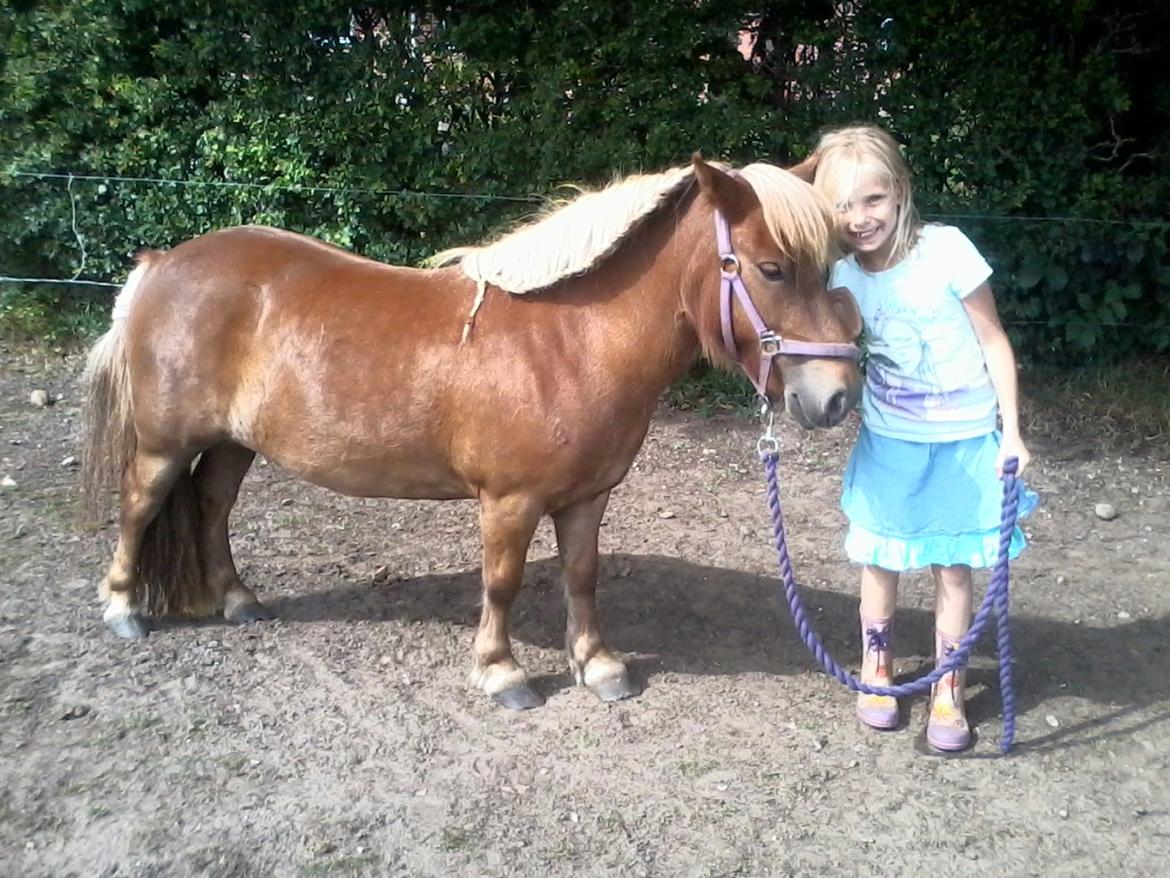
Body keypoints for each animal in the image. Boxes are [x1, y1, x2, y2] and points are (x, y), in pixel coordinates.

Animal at [80, 154, 861, 711]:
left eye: (829, 266)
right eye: (771, 268)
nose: (835, 397)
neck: (569, 340)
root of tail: (162, 264)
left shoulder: (588, 496)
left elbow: (583, 575)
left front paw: (598, 666)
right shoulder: (509, 502)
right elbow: (503, 583)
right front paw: (502, 673)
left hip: (232, 442)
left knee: (213, 506)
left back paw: (238, 601)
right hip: (165, 444)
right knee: (140, 506)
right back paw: (121, 609)